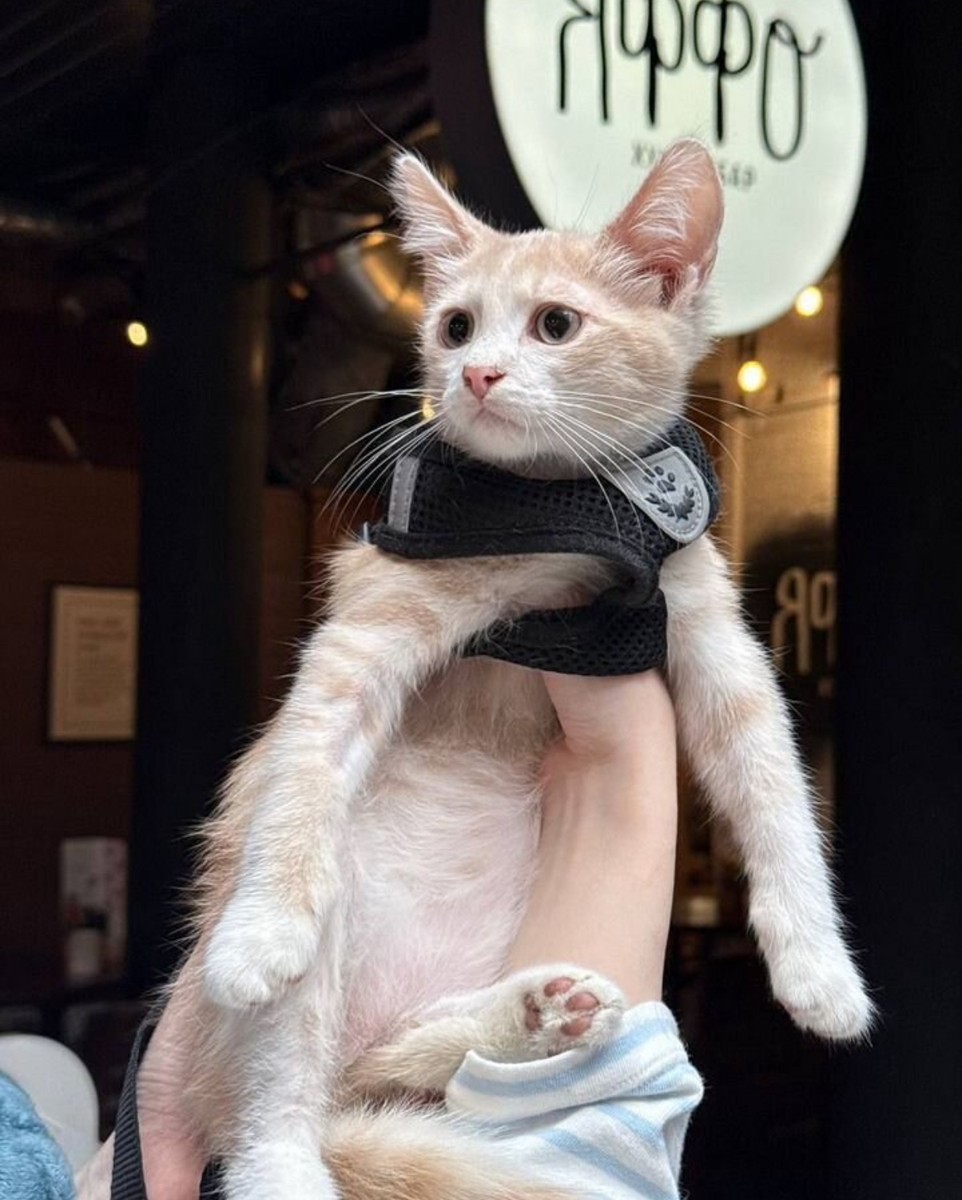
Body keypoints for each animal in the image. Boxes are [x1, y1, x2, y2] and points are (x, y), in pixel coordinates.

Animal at [167, 139, 873, 1200]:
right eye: (455, 325)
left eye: (556, 324)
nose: (479, 373)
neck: (559, 517)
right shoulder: (368, 623)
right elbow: (307, 761)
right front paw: (261, 929)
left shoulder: (708, 633)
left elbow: (777, 786)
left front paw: (820, 970)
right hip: (307, 975)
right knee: (272, 1118)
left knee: (396, 1060)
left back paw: (533, 1015)